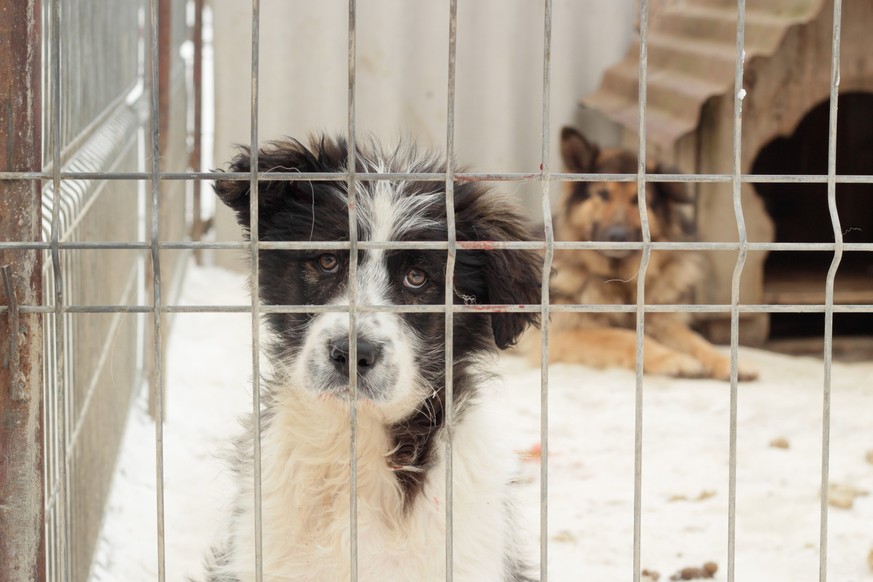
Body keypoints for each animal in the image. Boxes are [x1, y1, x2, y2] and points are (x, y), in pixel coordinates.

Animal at [528, 128, 760, 384]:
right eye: (603, 194)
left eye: (639, 200)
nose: (617, 236)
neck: (622, 279)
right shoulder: (559, 333)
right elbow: (624, 337)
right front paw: (673, 359)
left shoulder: (663, 320)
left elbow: (697, 341)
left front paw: (728, 363)